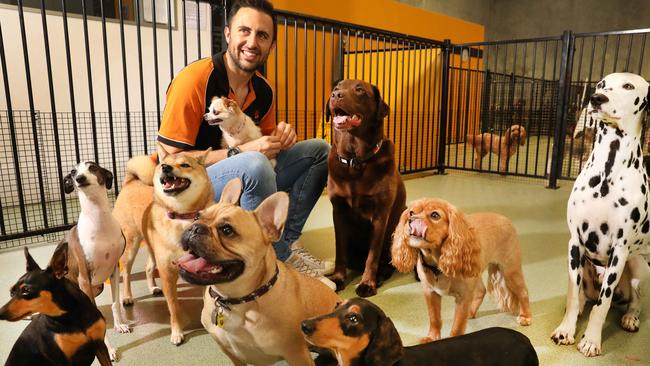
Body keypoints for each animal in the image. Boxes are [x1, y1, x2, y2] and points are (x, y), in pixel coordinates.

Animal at [548, 73, 648, 356]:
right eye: (602, 84)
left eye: (628, 86)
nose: (596, 98)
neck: (607, 170)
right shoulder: (575, 243)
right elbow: (572, 295)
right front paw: (566, 329)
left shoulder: (620, 250)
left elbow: (602, 305)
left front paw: (591, 339)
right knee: (582, 296)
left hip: (637, 264)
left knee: (634, 300)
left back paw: (630, 317)